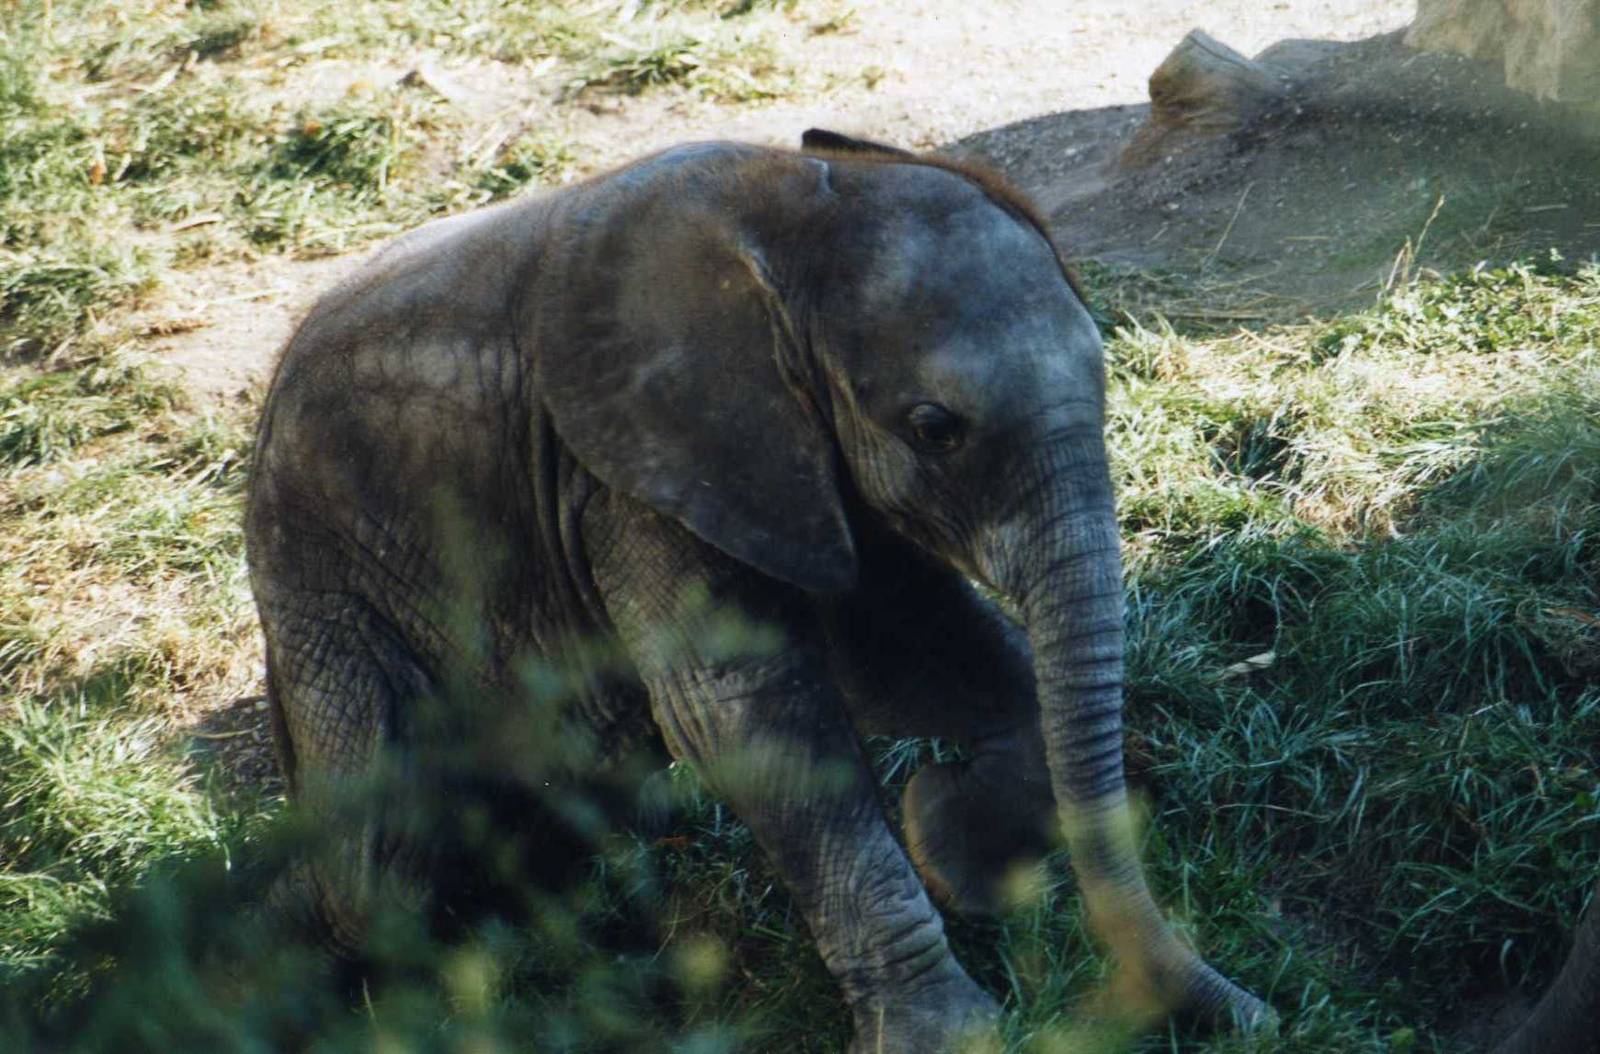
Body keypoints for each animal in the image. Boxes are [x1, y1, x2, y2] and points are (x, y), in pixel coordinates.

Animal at [244, 127, 1269, 1051]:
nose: (1263, 1018)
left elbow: (917, 647)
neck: (795, 212)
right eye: (935, 428)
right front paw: (950, 1033)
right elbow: (746, 712)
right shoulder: (636, 466)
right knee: (380, 865)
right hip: (324, 589)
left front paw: (955, 848)